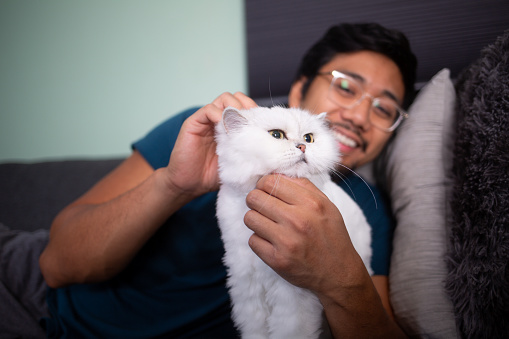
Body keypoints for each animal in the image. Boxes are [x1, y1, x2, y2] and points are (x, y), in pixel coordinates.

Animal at [214, 107, 374, 339]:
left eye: (309, 138)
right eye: (276, 135)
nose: (302, 146)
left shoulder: (293, 295)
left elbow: (288, 330)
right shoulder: (247, 286)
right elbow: (255, 330)